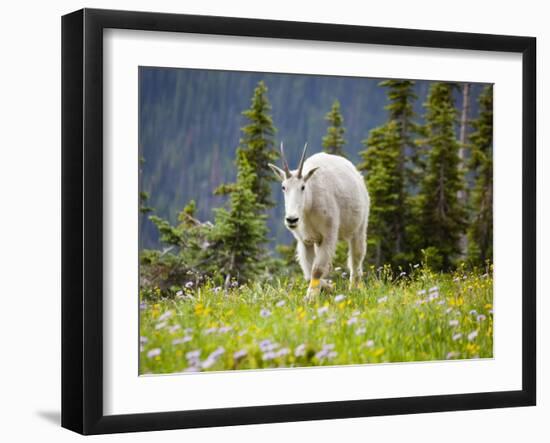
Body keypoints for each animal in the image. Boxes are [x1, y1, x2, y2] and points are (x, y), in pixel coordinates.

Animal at [268, 143, 370, 302]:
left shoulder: (329, 234)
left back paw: (354, 288)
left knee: (356, 258)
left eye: (303, 187)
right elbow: (309, 272)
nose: (292, 219)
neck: (308, 206)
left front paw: (311, 296)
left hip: (359, 227)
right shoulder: (305, 241)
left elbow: (317, 269)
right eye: (283, 187)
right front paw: (328, 287)